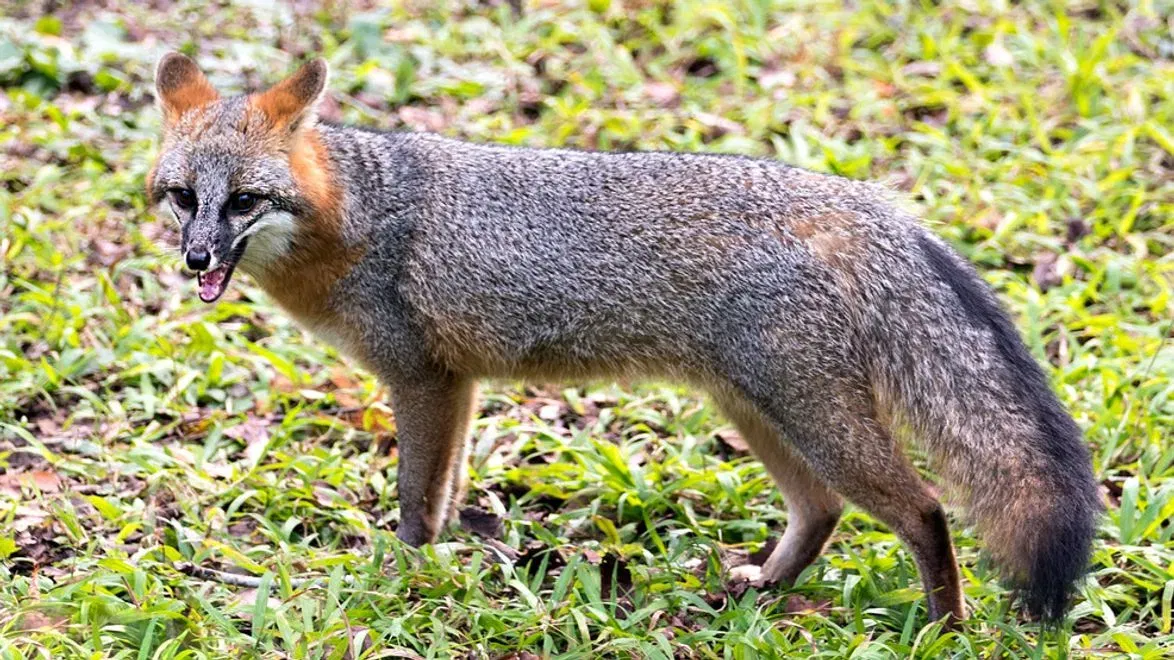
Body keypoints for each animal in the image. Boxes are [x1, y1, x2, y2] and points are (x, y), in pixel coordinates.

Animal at [147, 53, 1101, 624]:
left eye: (244, 201)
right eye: (183, 197)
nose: (197, 257)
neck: (357, 215)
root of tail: (864, 204)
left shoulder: (421, 378)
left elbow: (418, 498)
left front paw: (403, 571)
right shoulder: (456, 383)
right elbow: (447, 491)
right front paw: (439, 564)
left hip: (811, 418)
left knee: (925, 510)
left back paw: (943, 625)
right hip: (758, 409)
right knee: (823, 510)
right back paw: (768, 584)